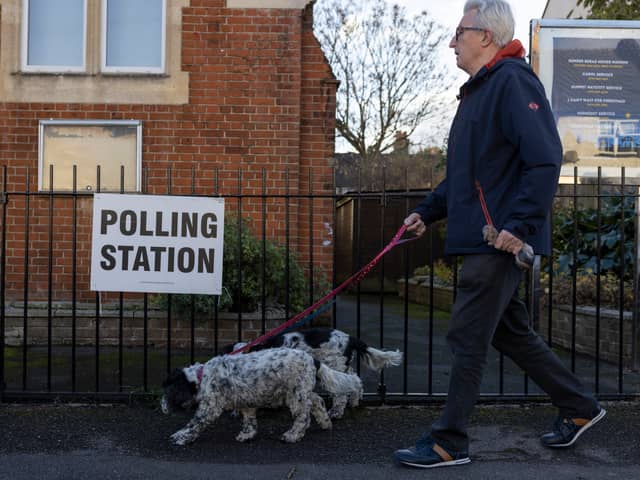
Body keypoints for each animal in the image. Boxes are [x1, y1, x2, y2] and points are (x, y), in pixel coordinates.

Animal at [161, 346, 360, 444]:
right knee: (317, 401)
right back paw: (325, 423)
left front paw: (181, 437)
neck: (202, 376)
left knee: (303, 417)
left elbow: (194, 424)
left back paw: (292, 436)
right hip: (301, 390)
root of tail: (313, 359)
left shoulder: (210, 407)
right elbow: (249, 421)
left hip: (296, 394)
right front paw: (247, 435)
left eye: (168, 391)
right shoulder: (246, 402)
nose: (163, 408)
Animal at [225, 328, 402, 418]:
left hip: (335, 365)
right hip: (342, 366)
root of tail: (350, 338)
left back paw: (336, 412)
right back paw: (355, 401)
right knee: (354, 379)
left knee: (341, 393)